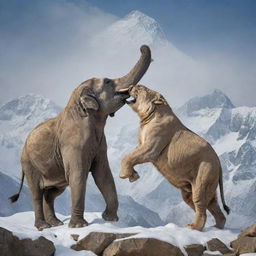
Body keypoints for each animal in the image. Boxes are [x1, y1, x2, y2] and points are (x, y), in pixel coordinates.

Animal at [10, 45, 152, 231]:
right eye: (108, 81)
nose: (142, 47)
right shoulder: (72, 144)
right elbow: (78, 175)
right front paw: (79, 226)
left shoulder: (100, 145)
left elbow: (103, 174)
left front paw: (109, 219)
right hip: (29, 163)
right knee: (37, 192)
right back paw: (43, 227)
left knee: (52, 193)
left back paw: (55, 223)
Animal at [120, 84, 230, 232]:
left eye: (142, 88)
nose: (131, 86)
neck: (153, 112)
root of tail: (219, 164)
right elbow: (134, 151)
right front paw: (132, 175)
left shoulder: (157, 139)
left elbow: (137, 154)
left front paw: (129, 176)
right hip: (202, 182)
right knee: (208, 202)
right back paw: (217, 227)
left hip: (205, 171)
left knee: (200, 200)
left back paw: (193, 227)